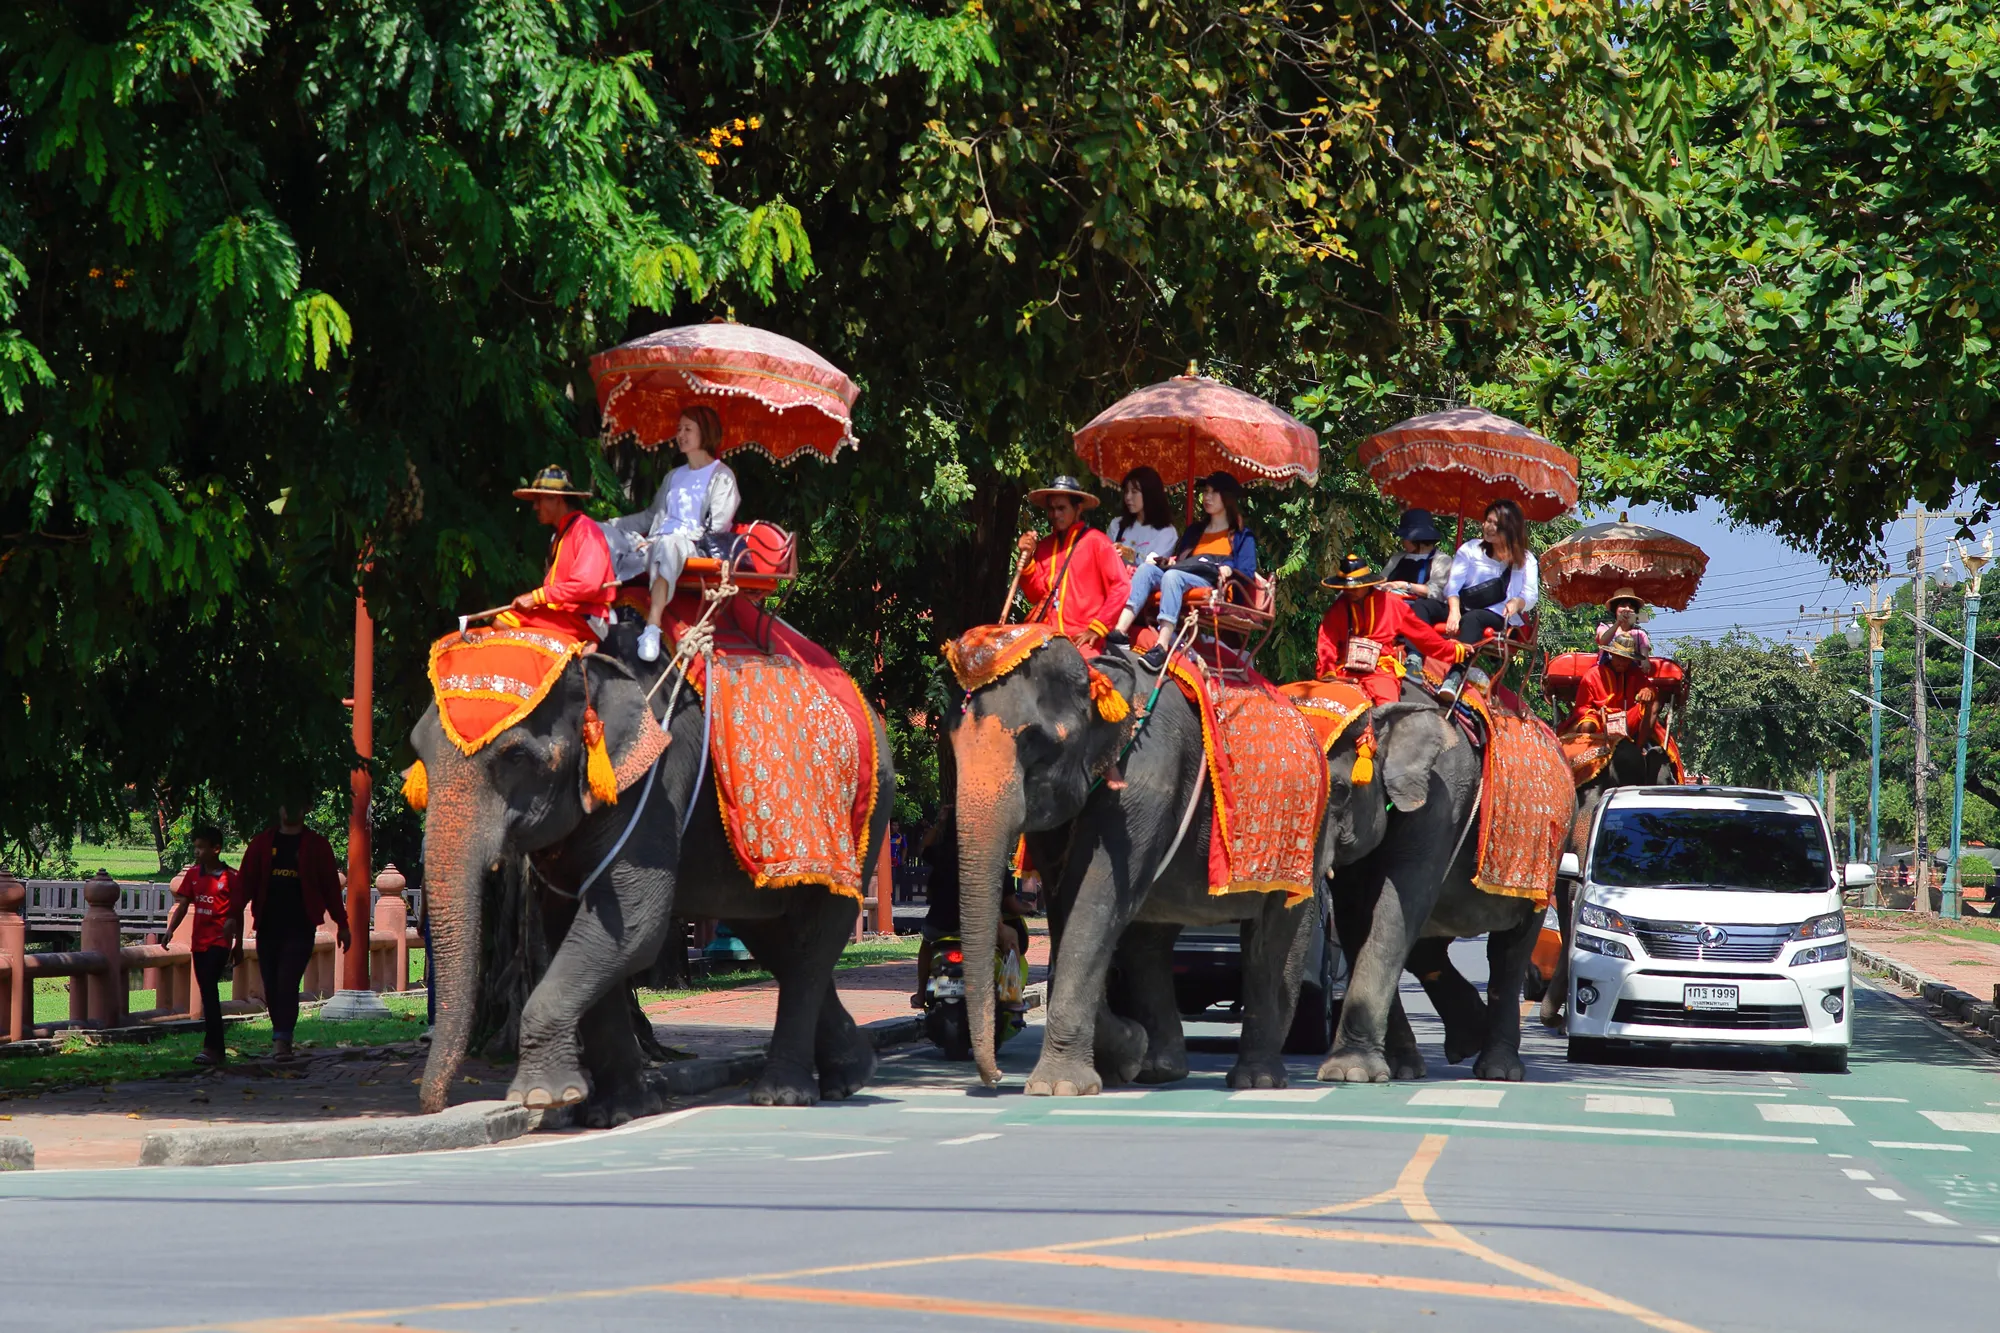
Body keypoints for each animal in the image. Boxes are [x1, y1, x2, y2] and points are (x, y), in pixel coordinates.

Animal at [410, 628, 894, 1122]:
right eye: (417, 751)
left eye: (516, 756)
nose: (433, 1105)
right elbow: (573, 927)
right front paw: (614, 1112)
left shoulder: (654, 784)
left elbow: (635, 928)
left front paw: (543, 1097)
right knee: (775, 939)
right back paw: (852, 1072)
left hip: (854, 825)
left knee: (815, 937)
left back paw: (783, 1094)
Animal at [947, 633, 1333, 1096]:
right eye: (952, 745)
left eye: (1035, 742)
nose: (994, 1078)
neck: (1099, 672)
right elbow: (1067, 905)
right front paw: (1127, 1053)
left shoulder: (1149, 772)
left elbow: (1096, 900)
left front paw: (1059, 1087)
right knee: (1149, 939)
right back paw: (1158, 1068)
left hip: (1306, 838)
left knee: (1271, 938)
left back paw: (1256, 1080)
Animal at [1315, 683, 1578, 1083]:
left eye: (1341, 789)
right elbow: (1356, 918)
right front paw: (1393, 1069)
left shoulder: (1441, 802)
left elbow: (1394, 909)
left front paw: (1349, 1073)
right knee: (1428, 946)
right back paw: (1466, 1039)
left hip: (1547, 858)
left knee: (1510, 951)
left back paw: (1497, 1069)